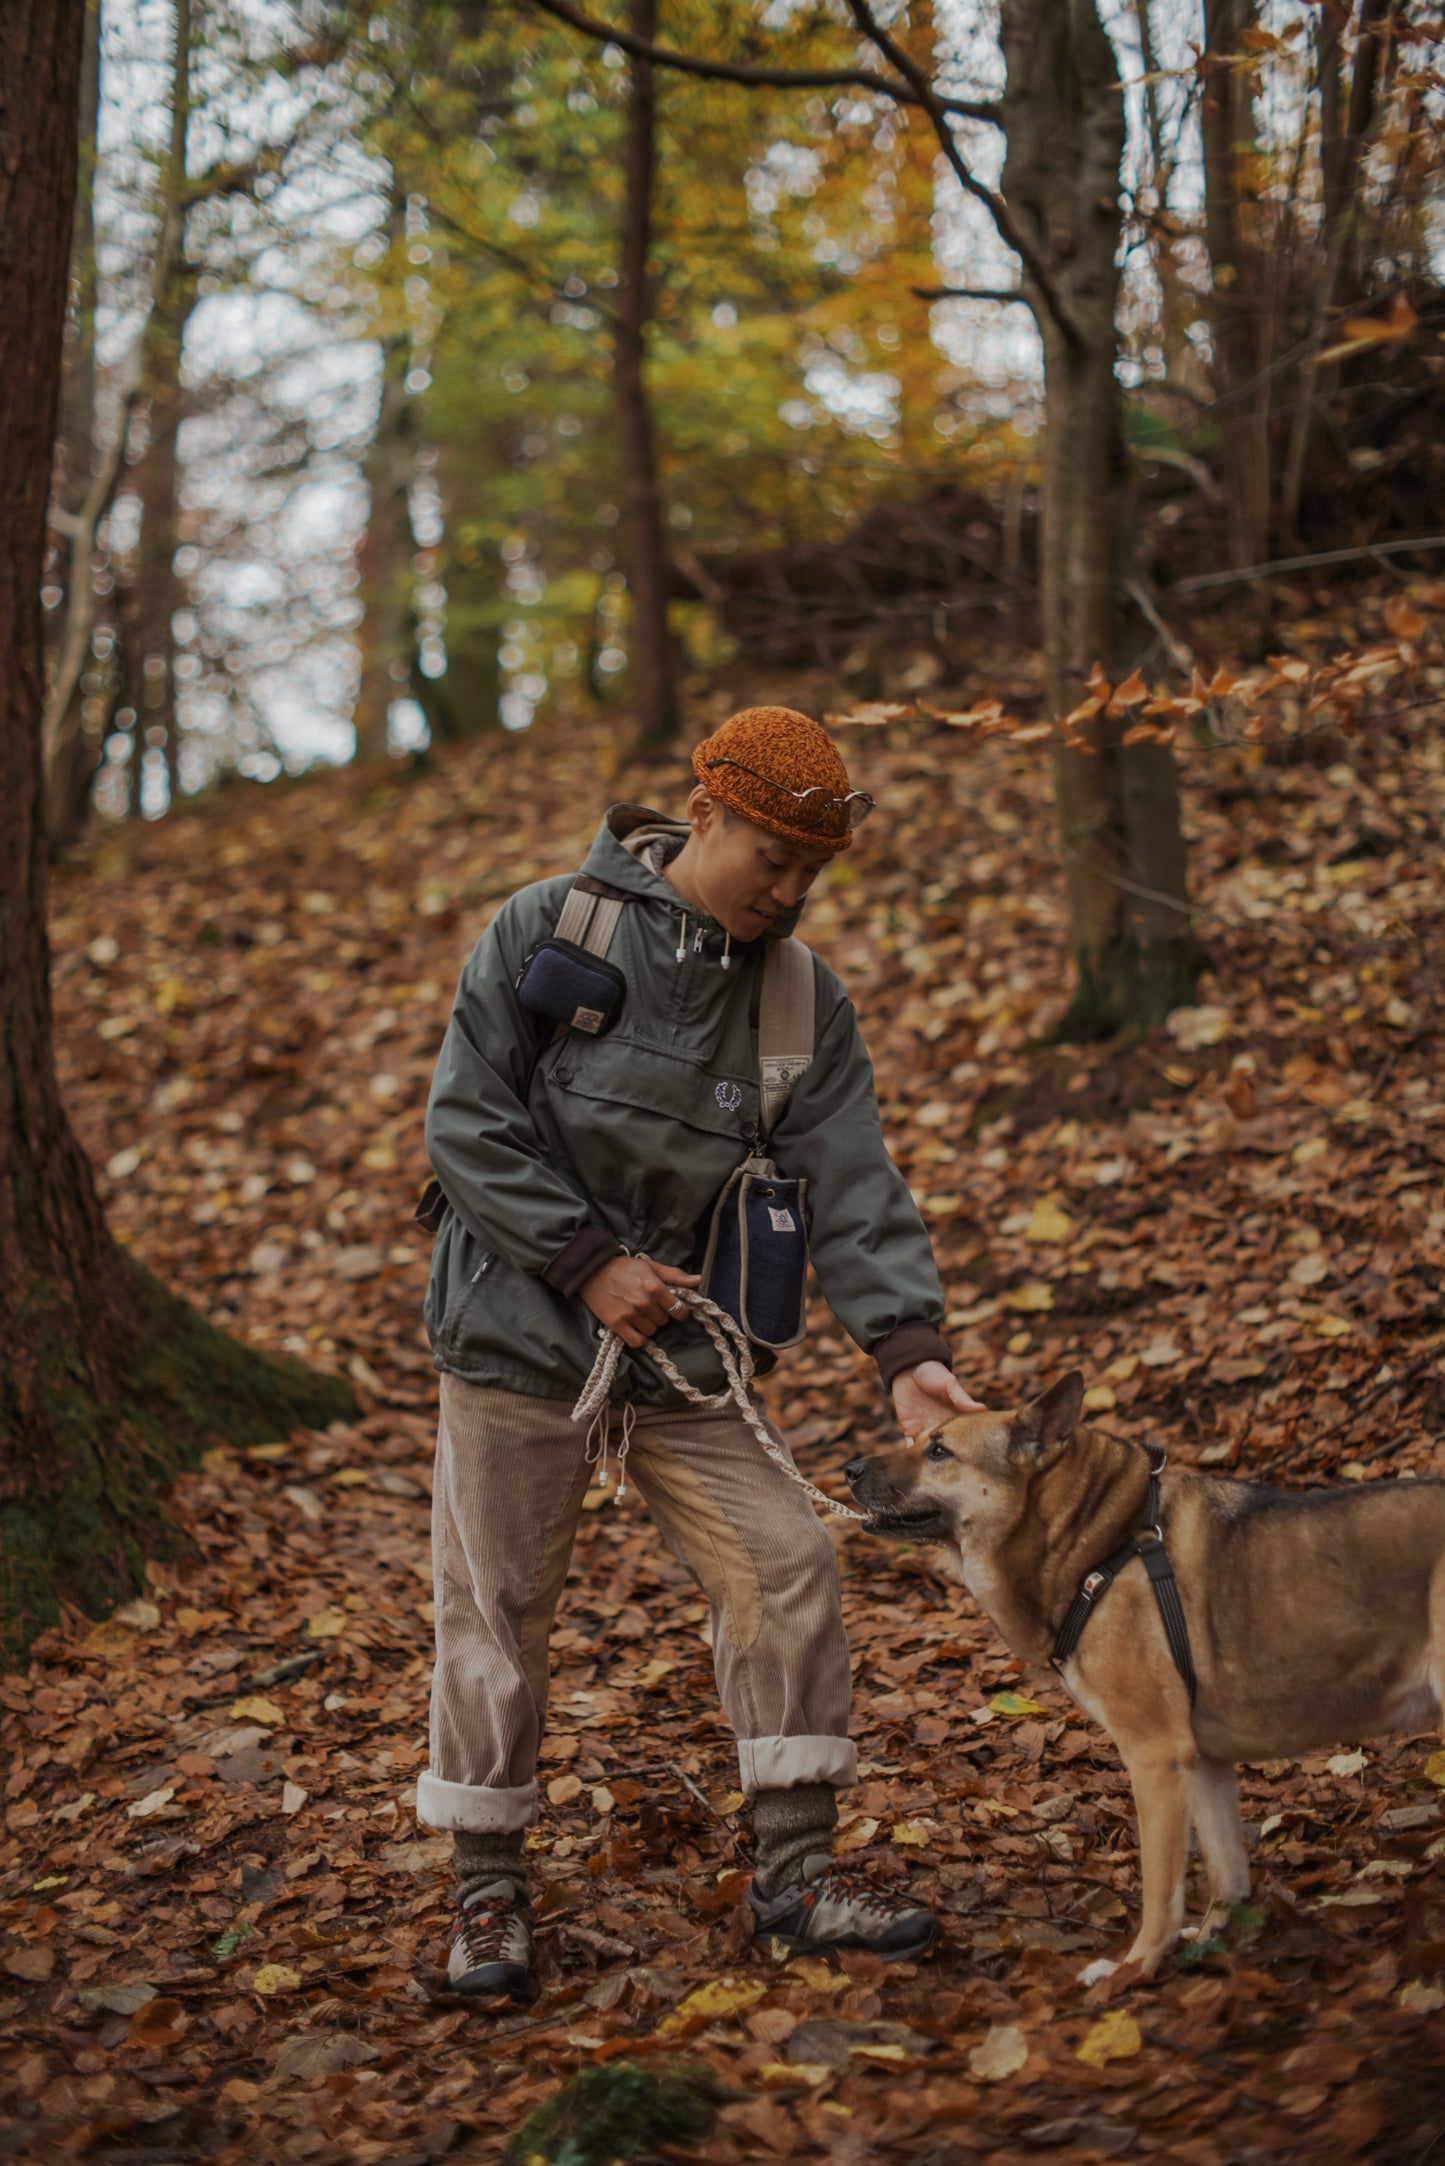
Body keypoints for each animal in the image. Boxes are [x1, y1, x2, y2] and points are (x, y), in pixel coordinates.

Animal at [840, 1368, 1445, 1984]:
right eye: (917, 1439)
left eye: (939, 1451)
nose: (850, 1469)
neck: (1099, 1544)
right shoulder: (1203, 1762)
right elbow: (1228, 1876)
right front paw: (1212, 1943)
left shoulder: (1157, 1757)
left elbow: (1160, 1889)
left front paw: (1132, 1972)